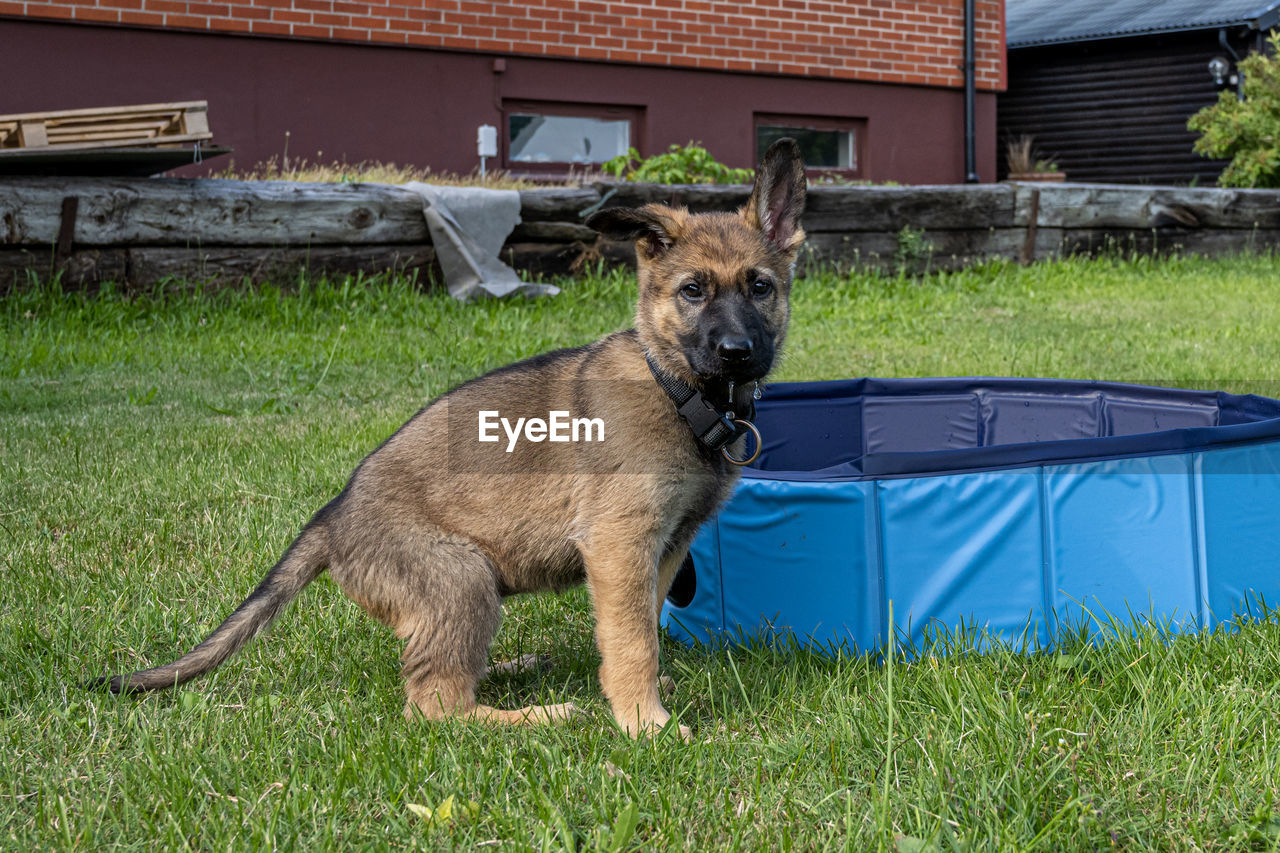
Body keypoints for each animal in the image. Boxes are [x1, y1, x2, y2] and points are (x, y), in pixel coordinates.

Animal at [94, 139, 803, 737]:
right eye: (693, 291)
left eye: (760, 287)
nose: (738, 353)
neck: (679, 389)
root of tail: (332, 518)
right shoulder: (620, 542)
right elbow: (633, 642)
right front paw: (643, 724)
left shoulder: (665, 547)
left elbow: (638, 630)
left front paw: (641, 697)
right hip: (462, 578)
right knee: (436, 707)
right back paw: (537, 716)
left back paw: (516, 671)